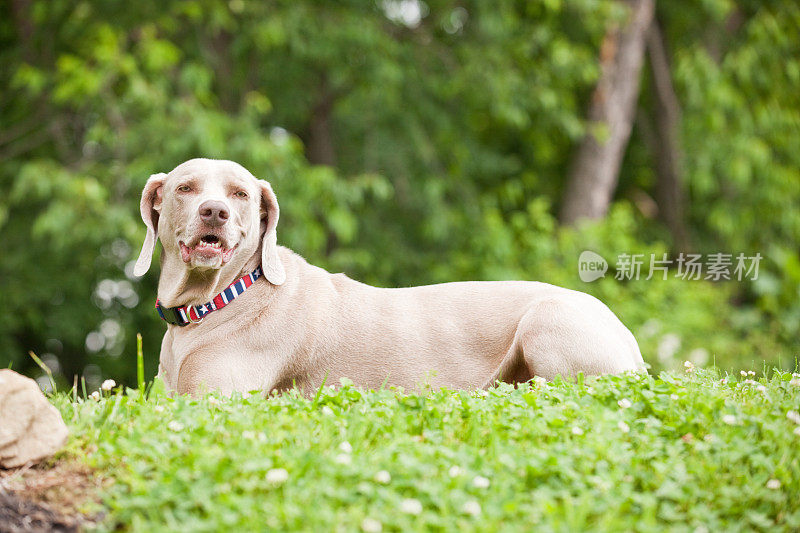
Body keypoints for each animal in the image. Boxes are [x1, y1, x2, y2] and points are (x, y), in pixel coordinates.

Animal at [133, 158, 644, 394]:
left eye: (240, 193)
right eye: (185, 188)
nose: (214, 212)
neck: (219, 298)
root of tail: (630, 340)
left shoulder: (216, 399)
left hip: (548, 319)